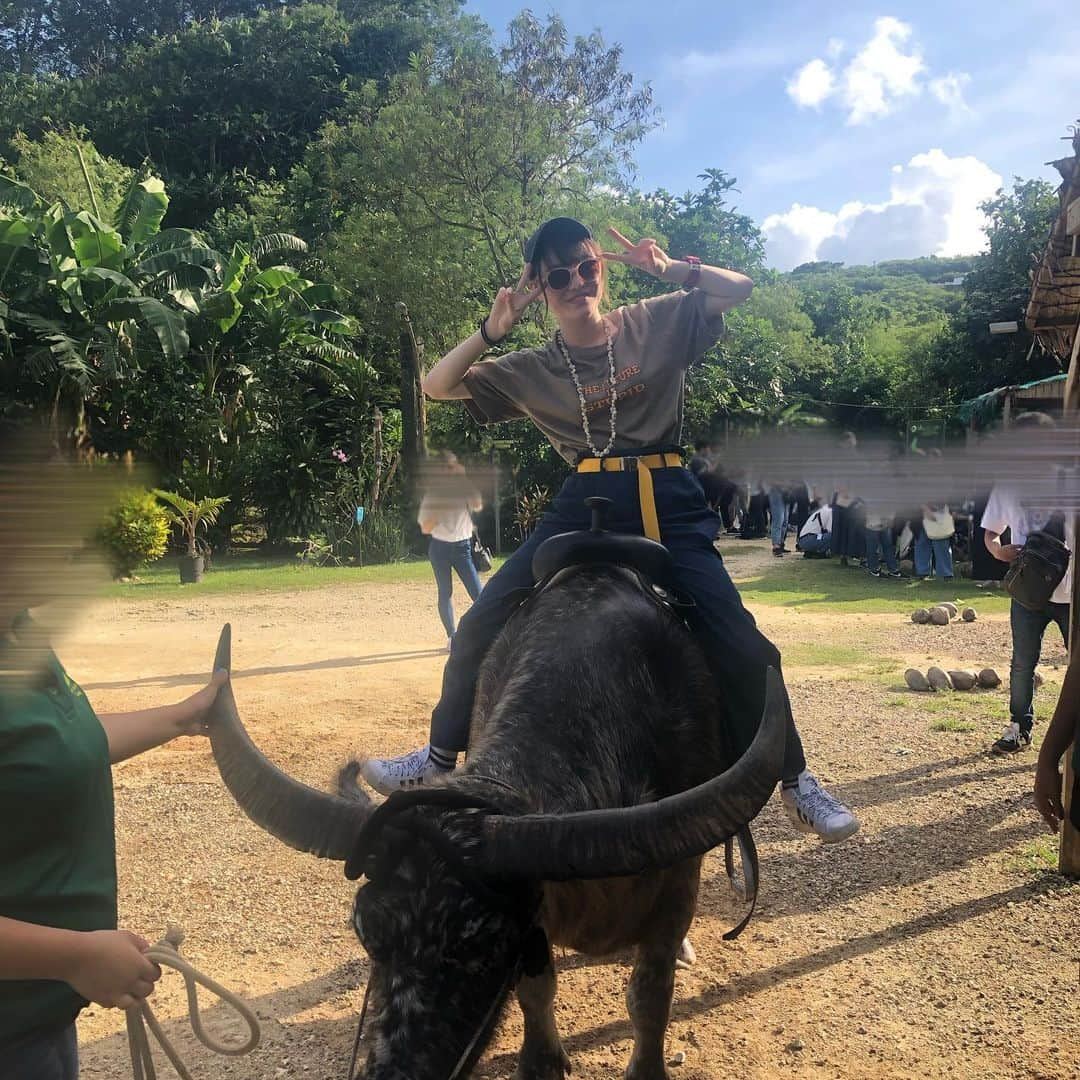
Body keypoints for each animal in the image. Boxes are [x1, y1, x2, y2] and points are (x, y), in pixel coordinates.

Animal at [208, 552, 786, 1075]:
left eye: (484, 947)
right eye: (367, 933)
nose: (393, 1069)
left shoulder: (674, 896)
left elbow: (648, 1000)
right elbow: (538, 988)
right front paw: (541, 1060)